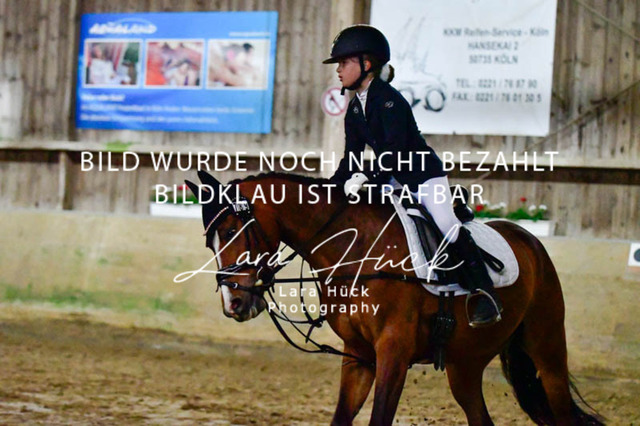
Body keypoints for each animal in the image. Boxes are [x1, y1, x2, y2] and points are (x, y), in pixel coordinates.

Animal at [184, 170, 603, 426]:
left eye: (233, 229)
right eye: (209, 241)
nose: (233, 304)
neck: (356, 250)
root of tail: (529, 240)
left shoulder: (393, 352)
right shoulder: (359, 355)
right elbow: (341, 417)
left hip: (547, 350)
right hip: (464, 366)